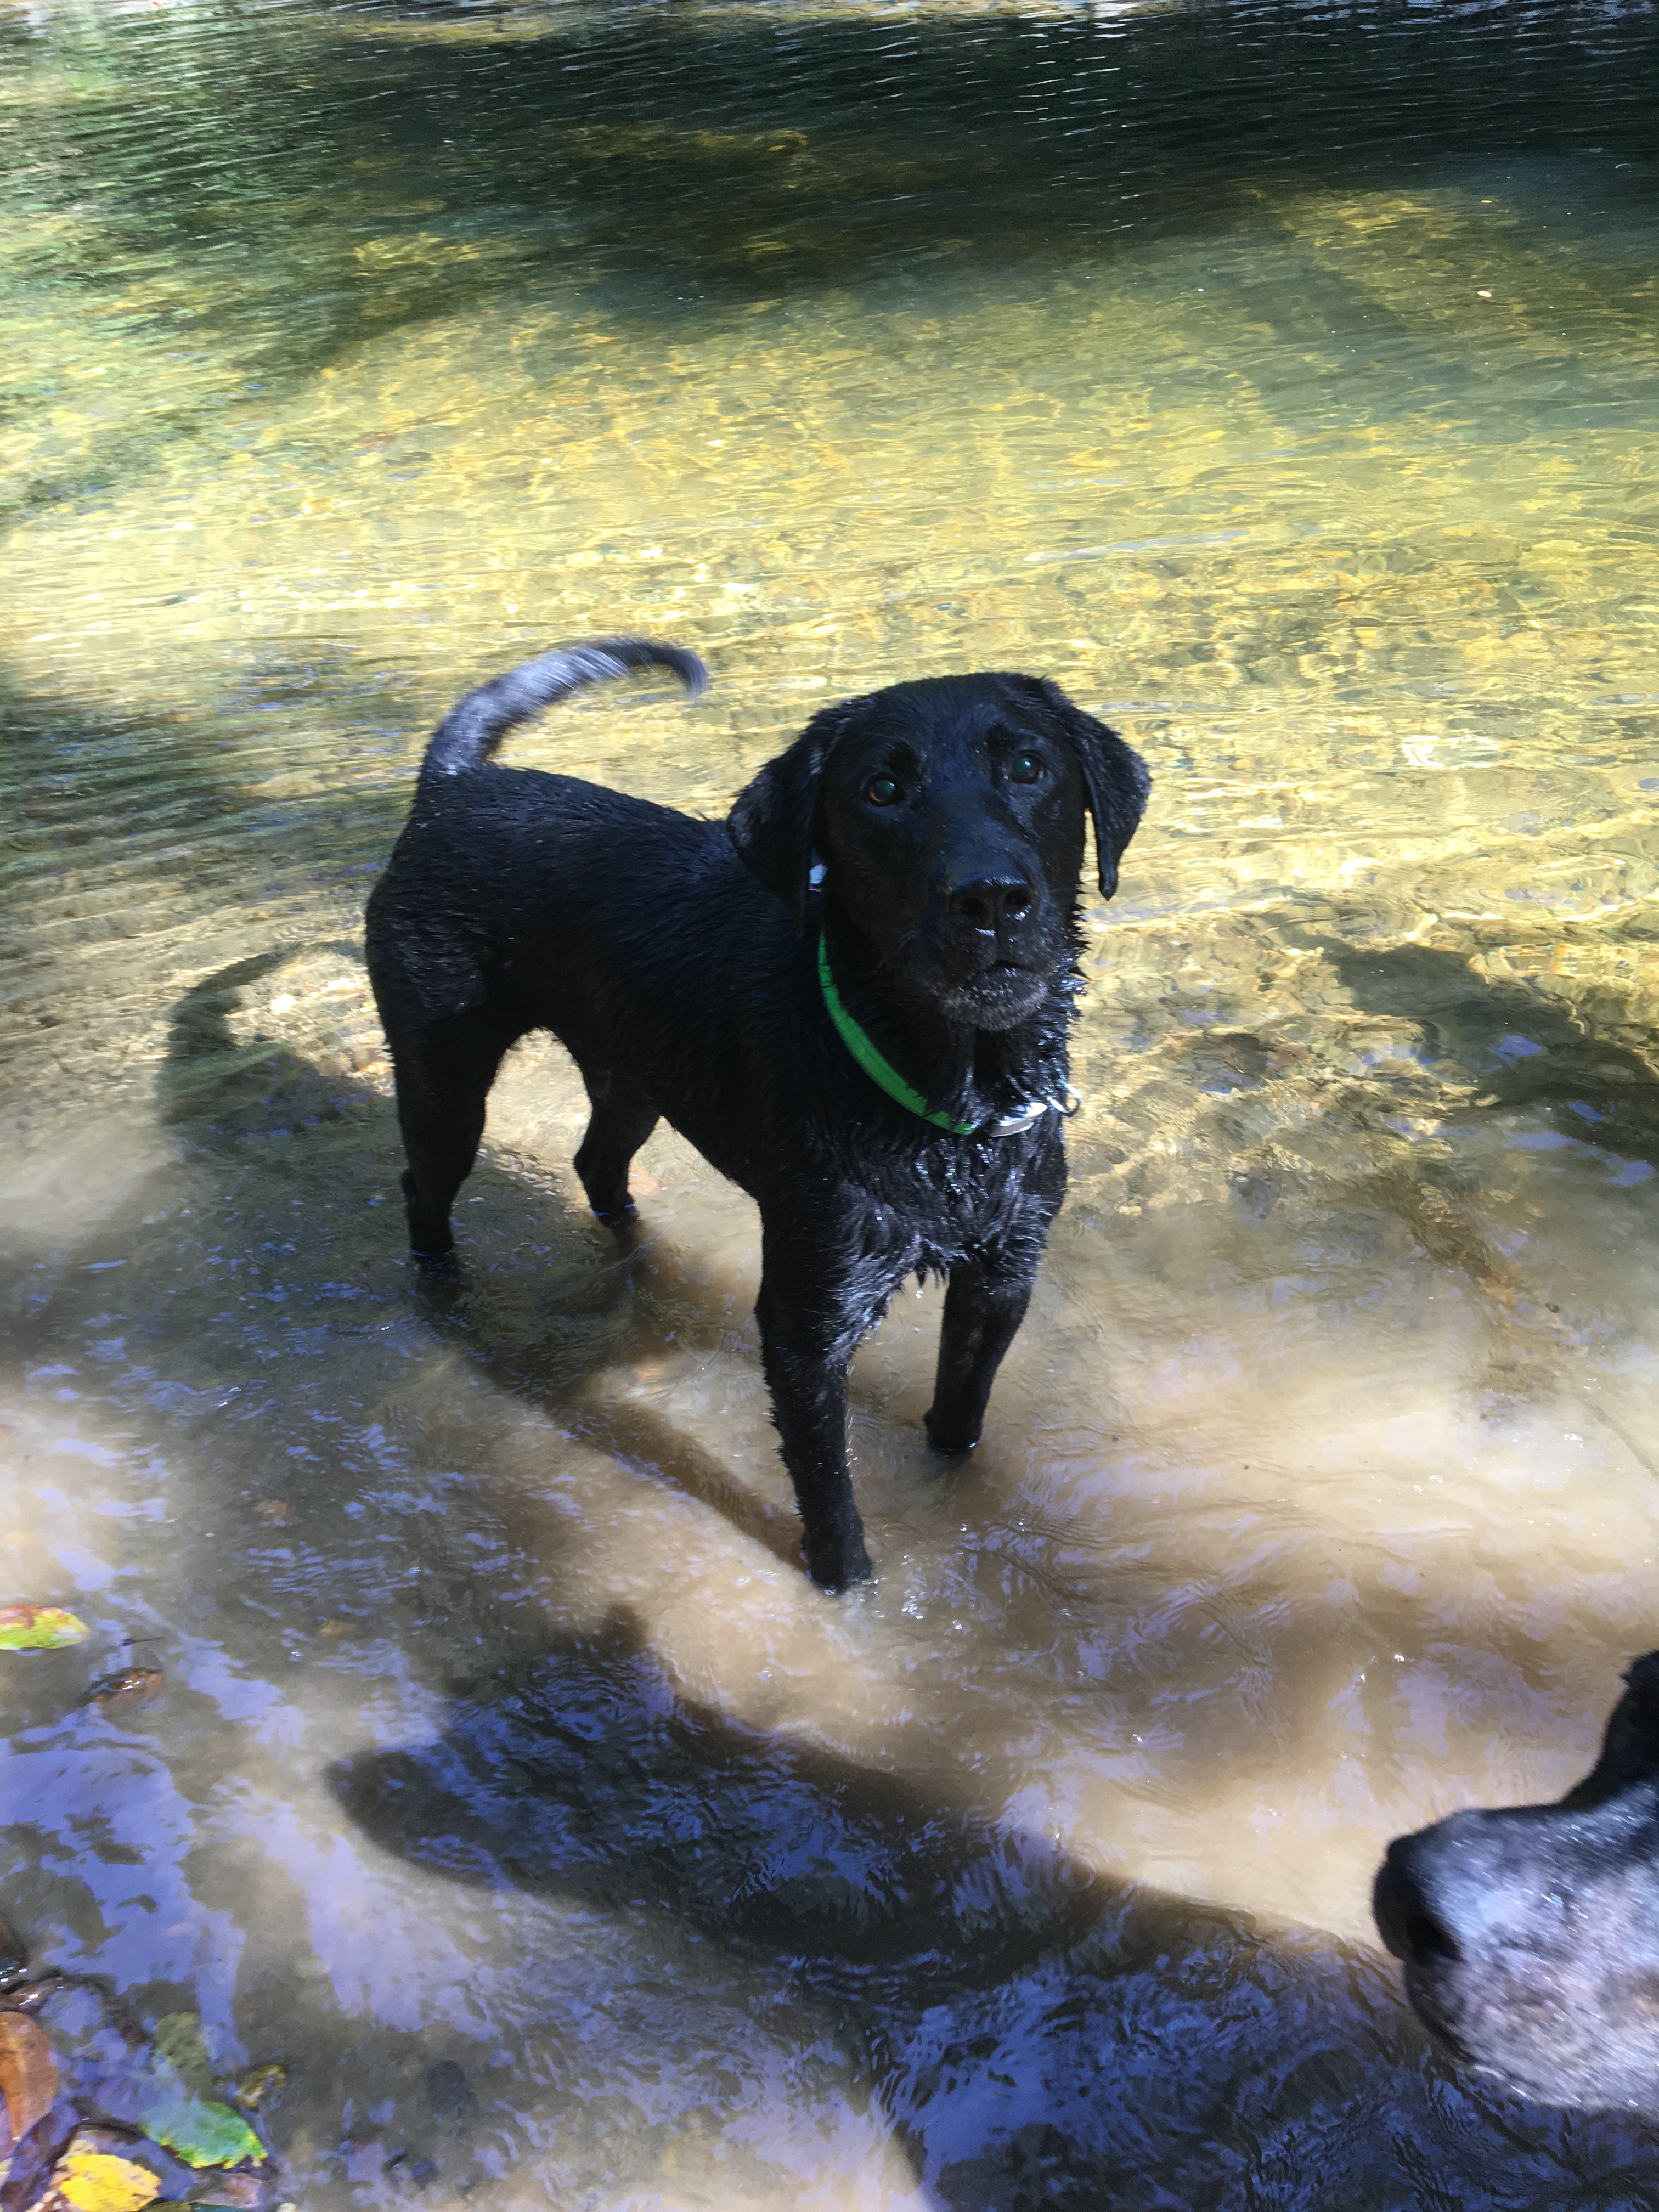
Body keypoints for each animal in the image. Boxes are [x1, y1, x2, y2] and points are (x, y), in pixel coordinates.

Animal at [365, 638, 1149, 1590]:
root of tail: (449, 789)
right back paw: (444, 1290)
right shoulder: (811, 1319)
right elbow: (827, 1491)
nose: (991, 899)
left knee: (597, 1164)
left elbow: (959, 1419)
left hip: (634, 1079)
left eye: (1031, 768)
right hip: (446, 1083)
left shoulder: (1002, 1278)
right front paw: (846, 1589)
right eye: (882, 789)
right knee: (425, 1187)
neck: (947, 1099)